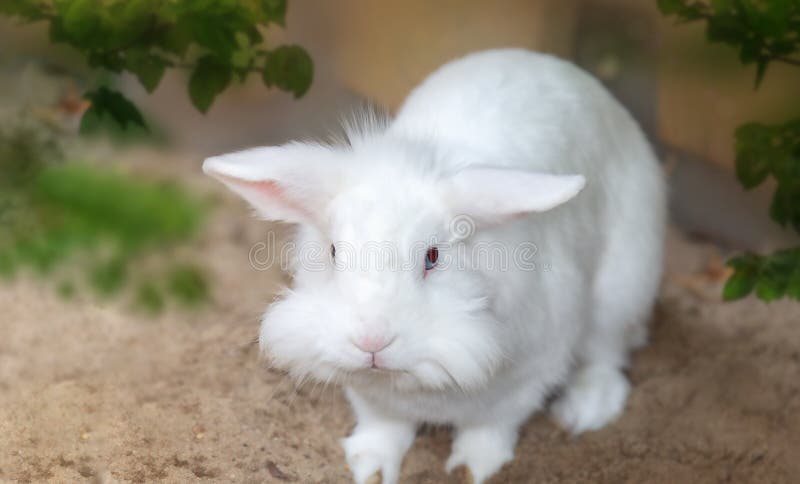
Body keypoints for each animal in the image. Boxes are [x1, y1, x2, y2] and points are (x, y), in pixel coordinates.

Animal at [203, 50, 664, 484]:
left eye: (433, 256)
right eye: (333, 251)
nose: (371, 342)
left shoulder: (529, 376)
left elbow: (490, 429)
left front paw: (474, 469)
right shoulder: (371, 396)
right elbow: (383, 427)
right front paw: (369, 468)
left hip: (621, 291)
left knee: (606, 355)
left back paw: (585, 411)